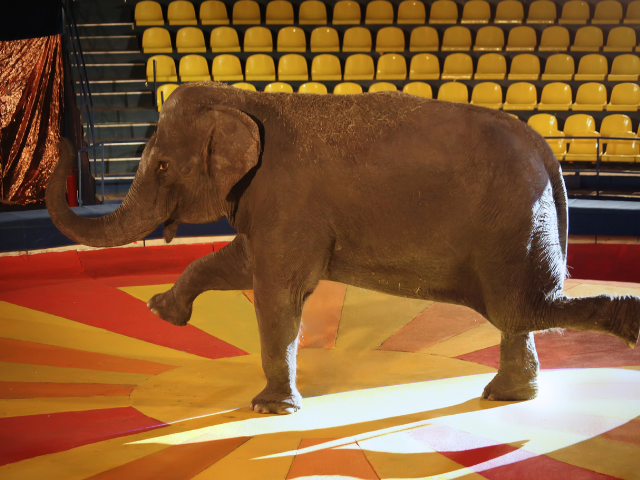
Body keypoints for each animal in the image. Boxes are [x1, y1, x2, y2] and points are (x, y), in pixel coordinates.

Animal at [46, 82, 640, 415]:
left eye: (164, 165)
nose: (63, 139)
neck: (247, 99)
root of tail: (546, 148)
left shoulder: (288, 201)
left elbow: (277, 295)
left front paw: (270, 410)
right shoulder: (273, 204)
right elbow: (239, 264)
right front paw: (163, 312)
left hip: (512, 222)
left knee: (521, 307)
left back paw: (625, 322)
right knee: (517, 312)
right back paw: (507, 396)